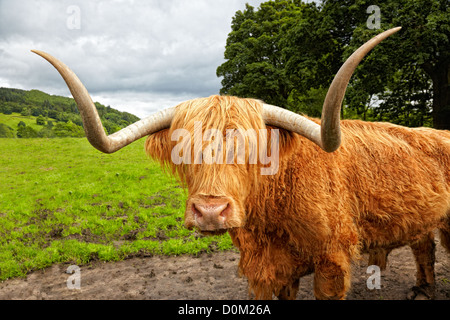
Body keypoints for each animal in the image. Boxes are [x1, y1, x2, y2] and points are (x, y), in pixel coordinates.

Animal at [32, 28, 450, 300]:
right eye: (182, 149)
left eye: (256, 149)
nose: (210, 211)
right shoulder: (270, 269)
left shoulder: (332, 259)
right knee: (423, 245)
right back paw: (422, 289)